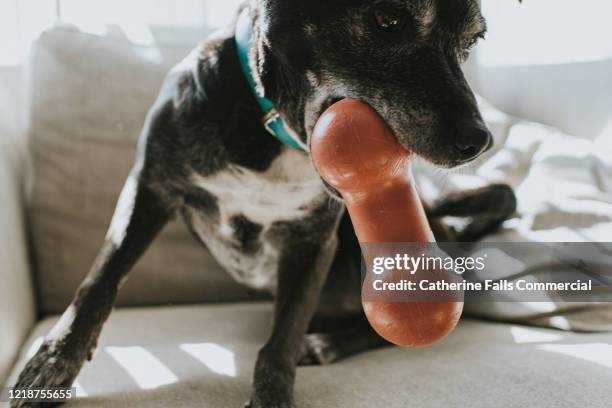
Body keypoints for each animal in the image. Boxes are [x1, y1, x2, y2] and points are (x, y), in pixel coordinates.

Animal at [13, 0, 516, 408]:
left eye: (472, 41)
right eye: (388, 18)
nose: (479, 142)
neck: (272, 130)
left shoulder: (312, 243)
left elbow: (282, 340)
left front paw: (274, 391)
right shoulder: (149, 187)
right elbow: (99, 283)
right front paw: (53, 364)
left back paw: (326, 344)